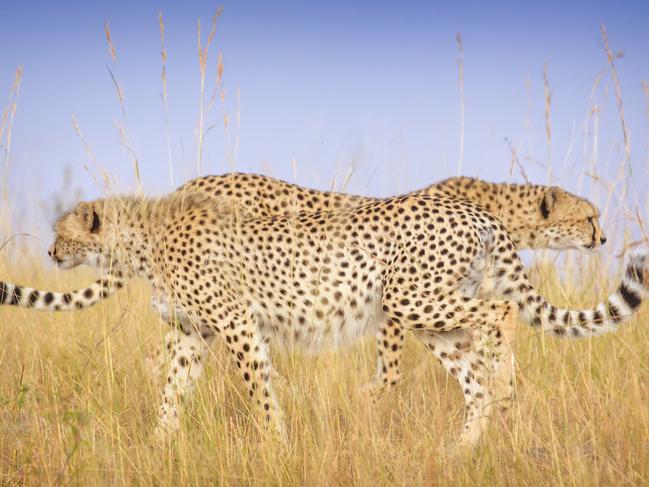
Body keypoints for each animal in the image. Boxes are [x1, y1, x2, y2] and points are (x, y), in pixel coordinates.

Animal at [0, 188, 644, 454]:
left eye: (60, 232)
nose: (52, 251)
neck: (143, 236)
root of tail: (472, 209)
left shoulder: (236, 324)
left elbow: (259, 389)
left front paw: (276, 445)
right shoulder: (192, 335)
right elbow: (171, 392)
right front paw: (158, 446)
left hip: (415, 301)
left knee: (498, 317)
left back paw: (501, 394)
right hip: (429, 321)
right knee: (475, 380)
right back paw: (461, 449)